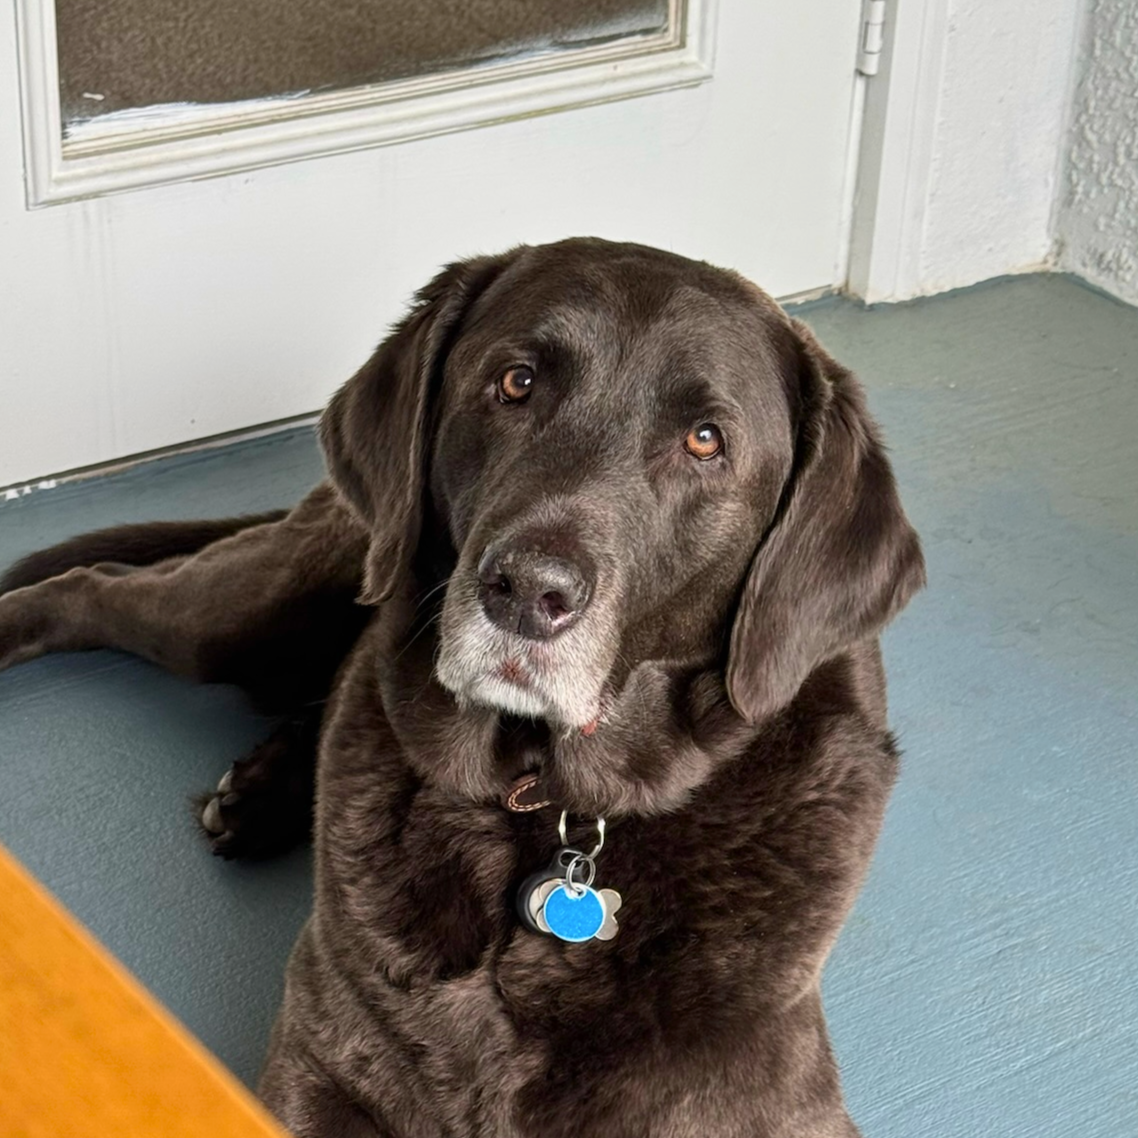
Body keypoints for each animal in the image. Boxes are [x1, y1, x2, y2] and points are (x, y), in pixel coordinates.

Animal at [0, 239, 925, 1136]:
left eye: (705, 439)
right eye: (516, 382)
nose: (527, 591)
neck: (546, 810)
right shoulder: (318, 1059)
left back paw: (261, 793)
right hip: (243, 613)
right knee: (95, 584)